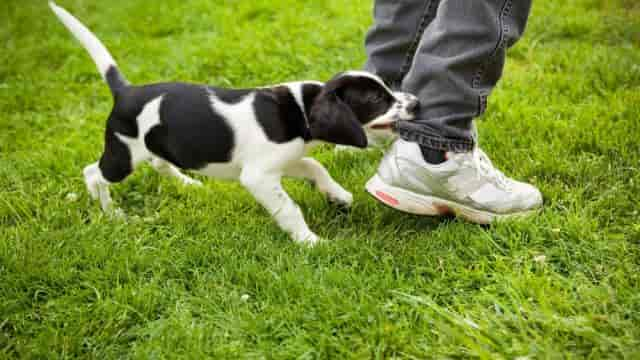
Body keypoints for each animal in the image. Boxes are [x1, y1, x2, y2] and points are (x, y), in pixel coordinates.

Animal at [51, 2, 420, 245]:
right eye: (376, 99)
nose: (417, 103)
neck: (300, 109)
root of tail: (126, 91)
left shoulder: (283, 160)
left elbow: (315, 166)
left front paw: (337, 195)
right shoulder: (258, 176)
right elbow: (289, 208)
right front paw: (309, 241)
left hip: (155, 145)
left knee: (160, 162)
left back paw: (188, 183)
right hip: (122, 155)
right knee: (93, 173)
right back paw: (111, 212)